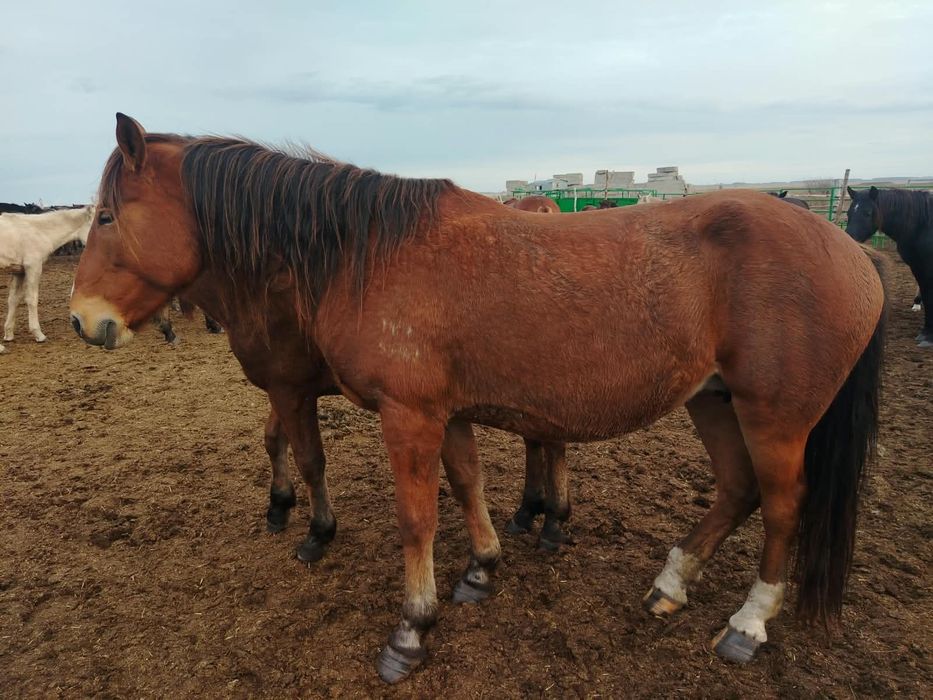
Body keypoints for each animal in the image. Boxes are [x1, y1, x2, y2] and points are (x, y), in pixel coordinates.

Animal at [1, 205, 94, 354]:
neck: (39, 231)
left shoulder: (18, 271)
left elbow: (13, 300)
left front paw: (8, 334)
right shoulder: (33, 266)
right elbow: (32, 299)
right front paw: (39, 334)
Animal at [71, 114, 886, 684]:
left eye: (107, 216)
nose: (82, 319)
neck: (363, 254)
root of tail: (851, 250)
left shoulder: (404, 415)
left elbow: (414, 517)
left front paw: (410, 630)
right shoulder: (446, 412)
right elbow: (466, 485)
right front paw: (482, 569)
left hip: (774, 416)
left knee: (782, 504)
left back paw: (747, 625)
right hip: (713, 400)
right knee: (738, 489)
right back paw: (669, 585)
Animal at [846, 185, 933, 347]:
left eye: (867, 213)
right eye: (848, 213)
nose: (850, 240)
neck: (923, 225)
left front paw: (929, 336)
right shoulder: (918, 267)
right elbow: (926, 293)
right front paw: (926, 332)